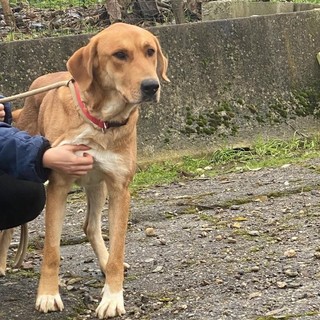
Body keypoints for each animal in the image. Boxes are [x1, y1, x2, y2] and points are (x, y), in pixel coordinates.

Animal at [13, 22, 169, 318]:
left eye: (150, 51)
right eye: (120, 55)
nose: (151, 86)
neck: (101, 121)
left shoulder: (119, 189)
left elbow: (118, 249)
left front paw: (113, 296)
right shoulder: (58, 187)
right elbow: (51, 251)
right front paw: (48, 294)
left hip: (98, 187)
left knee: (90, 226)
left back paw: (105, 264)